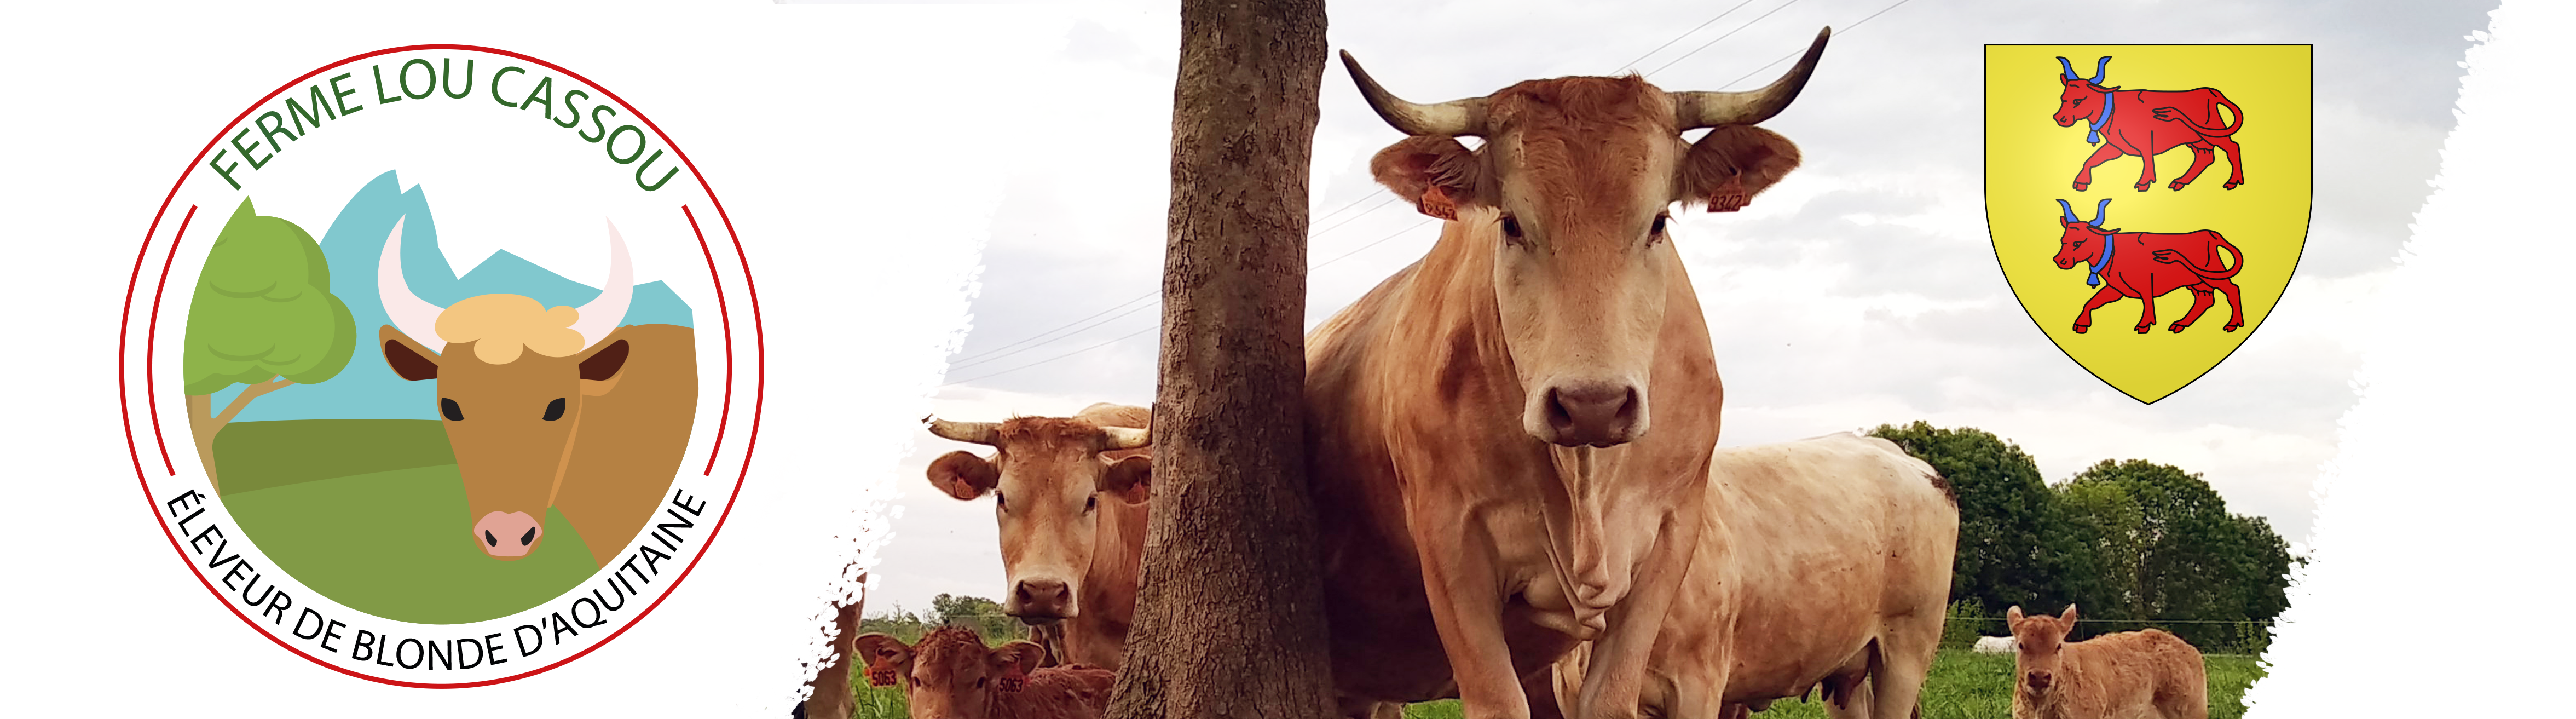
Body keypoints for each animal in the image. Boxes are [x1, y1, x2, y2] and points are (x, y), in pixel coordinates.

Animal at [1309, 27, 1829, 719]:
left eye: (1658, 221)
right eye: (1510, 223)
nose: (1592, 404)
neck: (1582, 483)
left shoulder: (1669, 539)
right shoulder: (1452, 547)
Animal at [2050, 198, 2246, 335]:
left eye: (2078, 243)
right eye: (2063, 240)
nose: (2060, 261)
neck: (2113, 253)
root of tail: (2210, 234)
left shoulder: (2144, 284)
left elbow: (2148, 303)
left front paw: (2144, 325)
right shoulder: (2116, 289)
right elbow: (2091, 302)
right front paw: (2081, 324)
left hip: (2213, 276)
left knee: (2233, 290)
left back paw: (2233, 324)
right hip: (2197, 283)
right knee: (2205, 300)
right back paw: (2180, 324)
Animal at [2051, 56, 2247, 192]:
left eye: (2078, 100)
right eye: (2063, 98)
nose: (2059, 118)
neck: (2113, 110)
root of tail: (2210, 92)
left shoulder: (2144, 141)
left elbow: (2147, 161)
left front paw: (2144, 183)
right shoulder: (2117, 147)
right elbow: (2091, 160)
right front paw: (2081, 182)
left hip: (2212, 133)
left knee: (2232, 147)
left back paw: (2233, 182)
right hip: (2197, 140)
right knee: (2205, 157)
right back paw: (2180, 182)